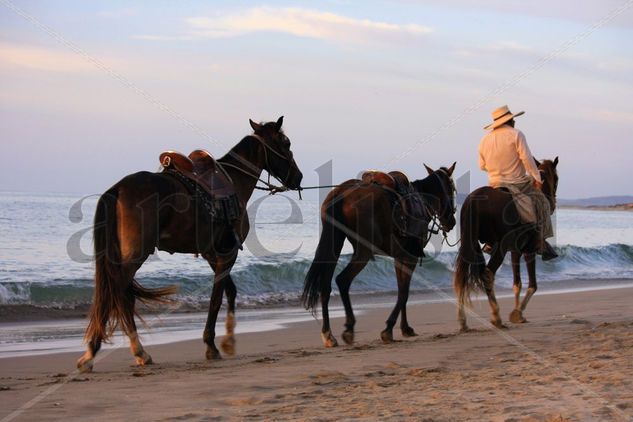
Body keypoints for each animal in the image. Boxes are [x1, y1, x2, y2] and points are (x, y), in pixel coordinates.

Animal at [78, 117, 302, 370]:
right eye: (286, 143)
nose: (298, 177)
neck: (234, 181)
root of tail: (118, 188)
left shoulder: (213, 254)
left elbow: (230, 291)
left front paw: (228, 339)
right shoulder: (228, 253)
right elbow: (216, 298)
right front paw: (213, 344)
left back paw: (102, 351)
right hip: (135, 255)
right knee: (119, 294)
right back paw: (129, 351)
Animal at [304, 163, 456, 348]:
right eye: (452, 189)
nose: (452, 222)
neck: (422, 200)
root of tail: (342, 194)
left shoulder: (400, 258)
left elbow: (402, 291)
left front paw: (405, 327)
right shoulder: (409, 257)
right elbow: (404, 293)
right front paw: (389, 328)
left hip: (335, 244)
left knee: (325, 285)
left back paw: (328, 334)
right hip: (363, 251)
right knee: (343, 280)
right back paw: (349, 327)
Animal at [454, 157, 556, 332]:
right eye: (556, 178)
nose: (554, 204)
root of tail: (475, 199)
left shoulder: (515, 251)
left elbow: (517, 283)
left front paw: (517, 313)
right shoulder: (529, 251)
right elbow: (532, 285)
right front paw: (518, 313)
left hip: (469, 243)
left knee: (462, 274)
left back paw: (463, 321)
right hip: (500, 248)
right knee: (488, 274)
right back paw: (496, 316)